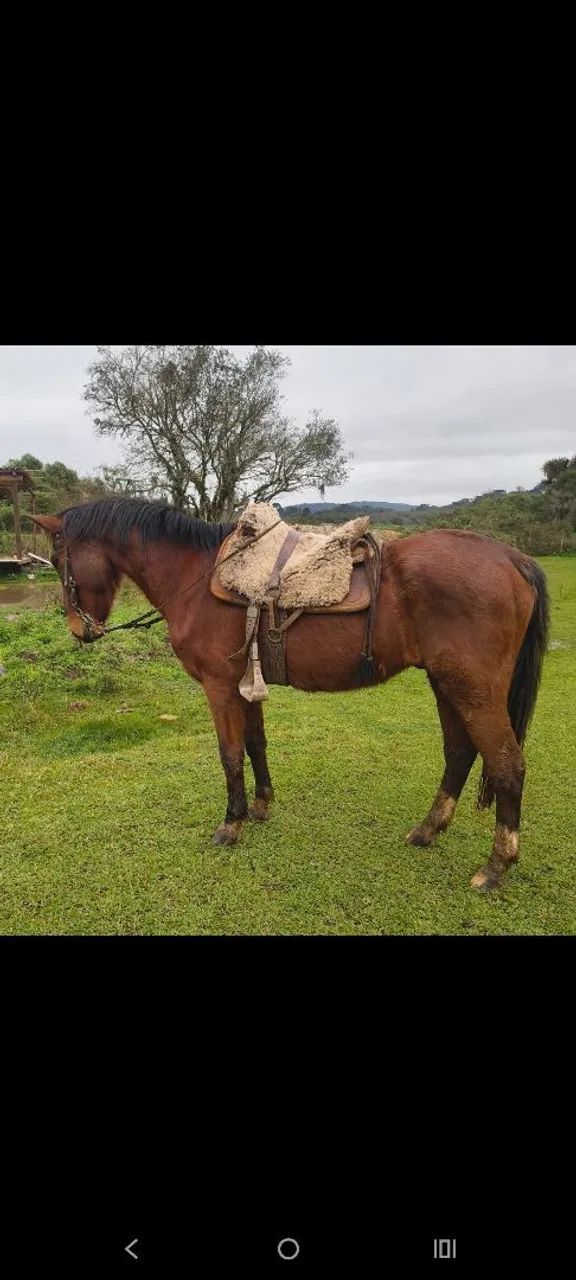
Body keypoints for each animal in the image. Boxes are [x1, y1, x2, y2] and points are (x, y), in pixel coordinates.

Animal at [31, 498, 550, 892]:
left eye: (58, 562)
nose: (79, 630)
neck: (196, 576)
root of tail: (513, 559)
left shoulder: (220, 688)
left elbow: (229, 754)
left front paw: (231, 824)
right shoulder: (244, 684)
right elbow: (256, 744)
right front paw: (260, 806)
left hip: (474, 690)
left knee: (508, 765)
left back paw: (496, 866)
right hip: (447, 683)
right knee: (460, 753)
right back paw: (427, 831)